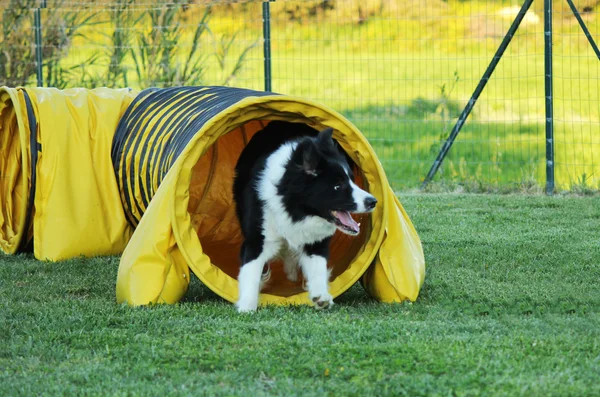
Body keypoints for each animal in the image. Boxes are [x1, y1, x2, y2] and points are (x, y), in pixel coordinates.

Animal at [233, 120, 378, 312]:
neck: (296, 208)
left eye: (352, 180)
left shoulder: (316, 239)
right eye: (337, 186)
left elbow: (318, 265)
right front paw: (247, 306)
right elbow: (251, 270)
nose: (373, 201)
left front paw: (320, 295)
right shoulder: (258, 238)